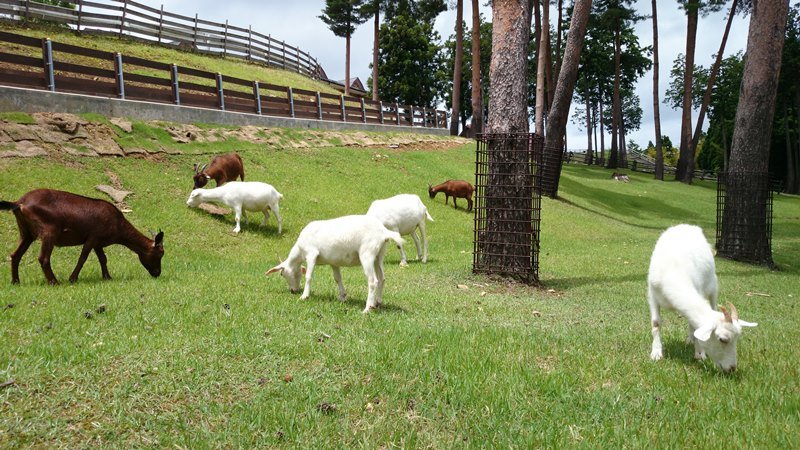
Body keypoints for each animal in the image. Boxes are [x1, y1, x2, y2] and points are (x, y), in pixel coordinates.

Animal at [0, 190, 166, 284]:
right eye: (160, 254)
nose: (157, 273)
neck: (118, 229)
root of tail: (19, 203)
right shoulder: (93, 237)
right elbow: (83, 258)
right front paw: (72, 279)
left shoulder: (99, 242)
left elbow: (103, 259)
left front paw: (107, 277)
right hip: (49, 230)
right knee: (43, 258)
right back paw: (54, 282)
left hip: (26, 232)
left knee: (15, 255)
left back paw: (15, 281)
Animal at [268, 214, 406, 312]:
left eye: (282, 274)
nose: (293, 291)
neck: (299, 251)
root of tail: (384, 232)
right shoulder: (333, 262)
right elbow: (337, 278)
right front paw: (342, 297)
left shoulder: (311, 254)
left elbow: (308, 276)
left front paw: (304, 296)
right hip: (379, 256)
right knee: (382, 278)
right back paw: (377, 302)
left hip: (367, 254)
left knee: (373, 281)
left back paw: (367, 308)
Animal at [648, 225, 760, 372]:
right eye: (723, 339)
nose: (732, 368)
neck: (673, 272)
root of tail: (688, 226)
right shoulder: (652, 294)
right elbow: (656, 323)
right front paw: (656, 353)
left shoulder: (699, 290)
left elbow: (695, 326)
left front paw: (700, 354)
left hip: (713, 286)